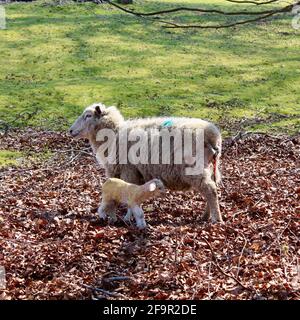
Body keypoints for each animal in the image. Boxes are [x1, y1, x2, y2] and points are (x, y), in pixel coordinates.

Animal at [68, 102, 223, 222]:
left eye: (88, 116)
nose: (70, 130)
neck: (113, 134)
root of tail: (213, 135)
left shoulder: (128, 171)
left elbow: (129, 191)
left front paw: (128, 217)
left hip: (194, 168)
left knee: (210, 190)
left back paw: (216, 219)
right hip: (209, 167)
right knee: (212, 189)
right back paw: (206, 215)